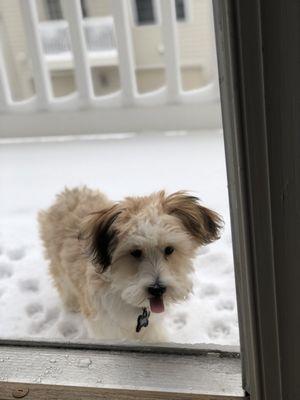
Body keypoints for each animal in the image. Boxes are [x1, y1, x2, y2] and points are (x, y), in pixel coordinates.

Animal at [38, 187, 221, 340]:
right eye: (135, 252)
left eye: (169, 249)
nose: (157, 289)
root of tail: (70, 192)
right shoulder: (105, 328)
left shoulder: (151, 329)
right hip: (58, 267)